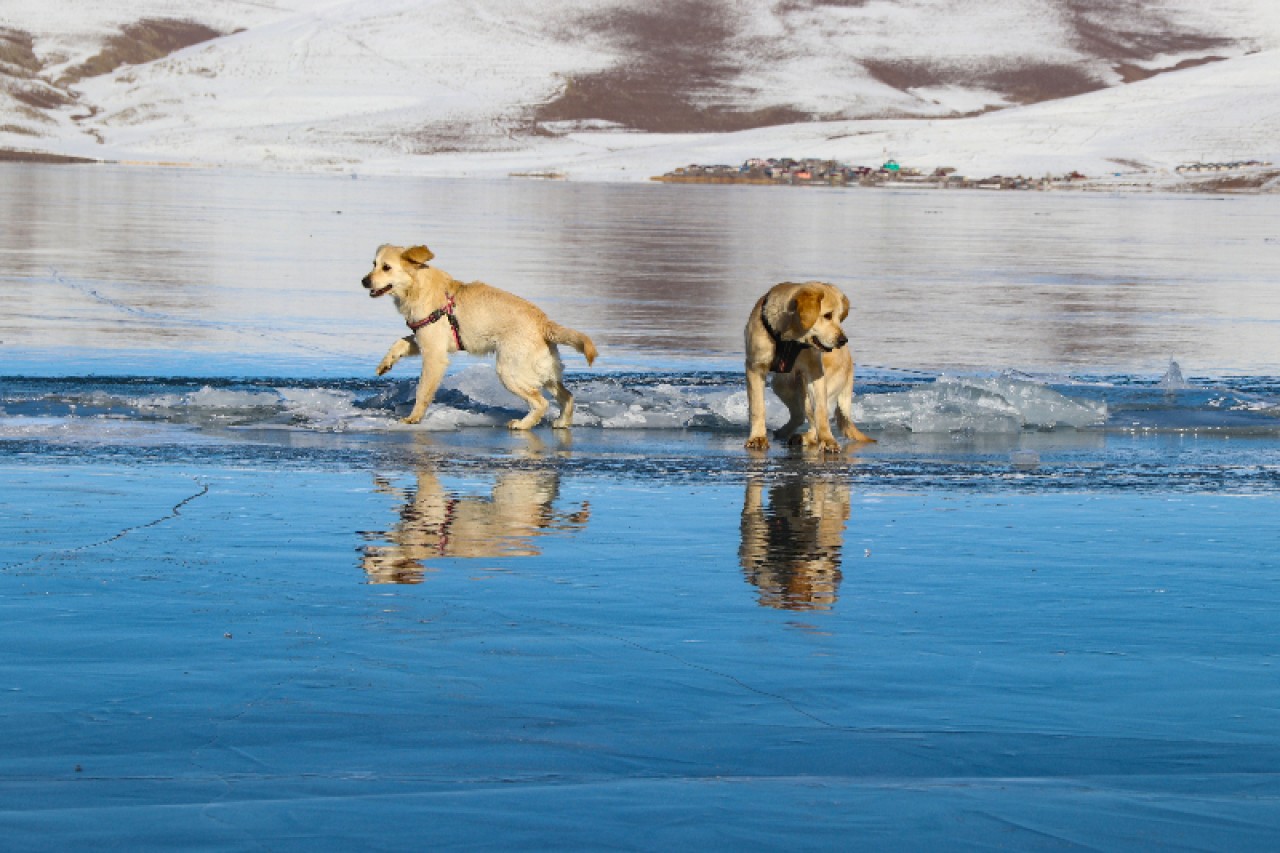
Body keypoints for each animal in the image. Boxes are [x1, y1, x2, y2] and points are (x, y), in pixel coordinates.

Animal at [363, 244, 596, 427]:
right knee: (568, 396)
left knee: (541, 402)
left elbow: (423, 391)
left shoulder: (434, 353)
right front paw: (385, 363)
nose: (364, 281)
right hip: (545, 372)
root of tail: (543, 322)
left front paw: (414, 418)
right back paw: (562, 422)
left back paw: (523, 424)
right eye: (373, 263)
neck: (418, 286)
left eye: (386, 267)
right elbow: (399, 343)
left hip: (509, 371)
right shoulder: (424, 337)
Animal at [747, 280, 875, 450]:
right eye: (827, 315)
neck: (789, 338)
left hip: (813, 391)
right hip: (782, 384)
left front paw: (827, 440)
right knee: (799, 415)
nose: (843, 340)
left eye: (840, 317)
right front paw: (758, 437)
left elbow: (821, 413)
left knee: (814, 418)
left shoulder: (815, 373)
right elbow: (757, 407)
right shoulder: (755, 367)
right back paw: (783, 432)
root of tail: (850, 365)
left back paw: (805, 438)